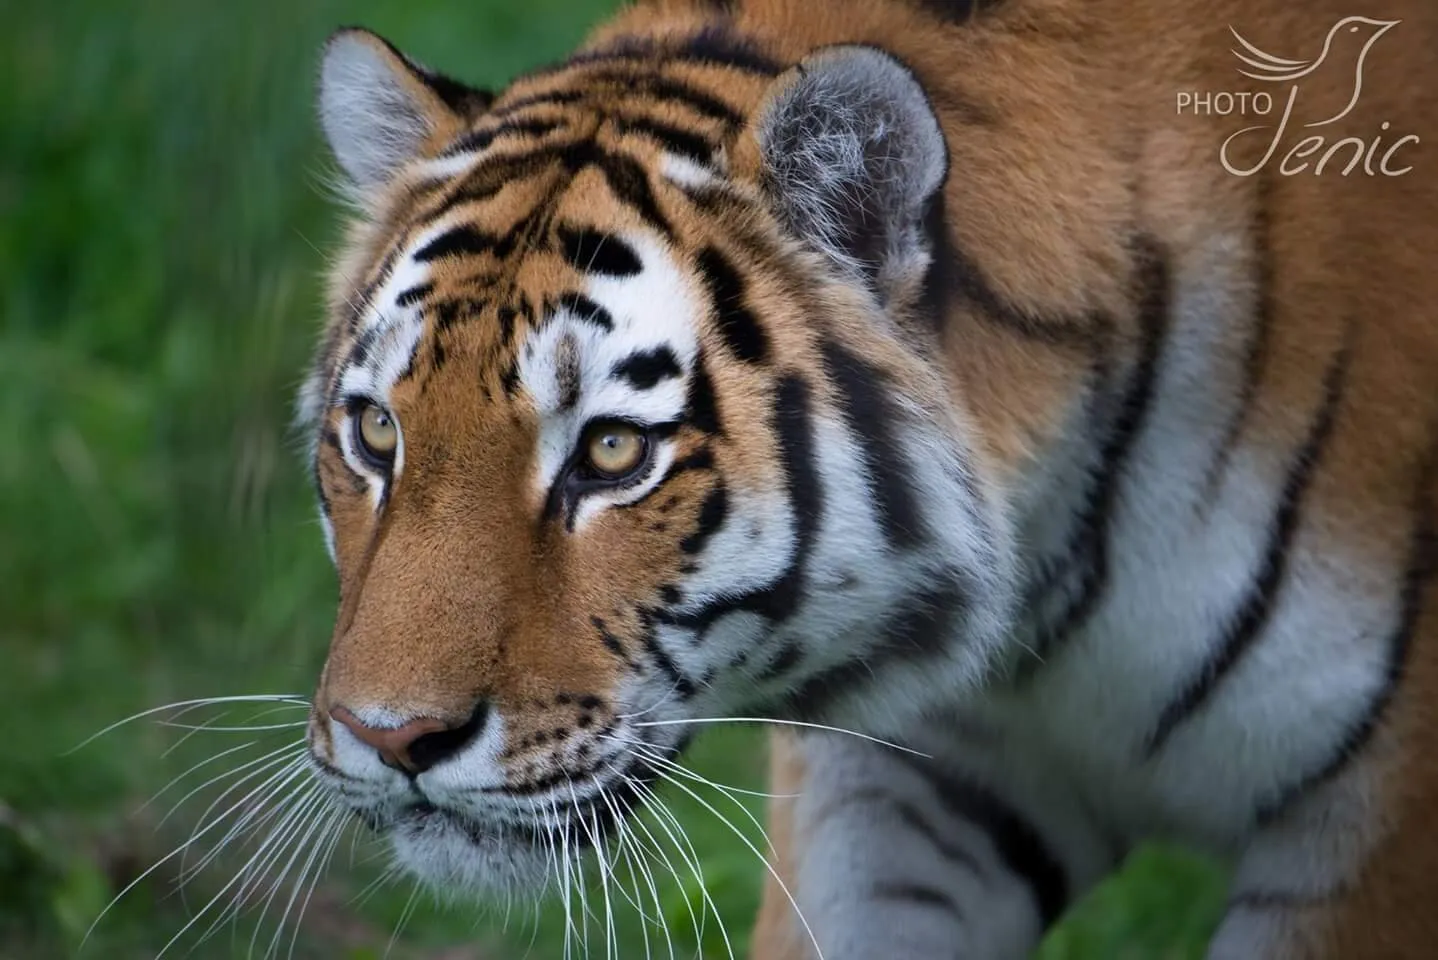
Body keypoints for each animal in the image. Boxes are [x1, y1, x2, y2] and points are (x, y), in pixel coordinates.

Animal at [295, 0, 1437, 956]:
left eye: (613, 452)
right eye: (378, 432)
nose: (390, 738)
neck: (1045, 590)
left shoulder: (1375, 830)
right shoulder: (904, 783)